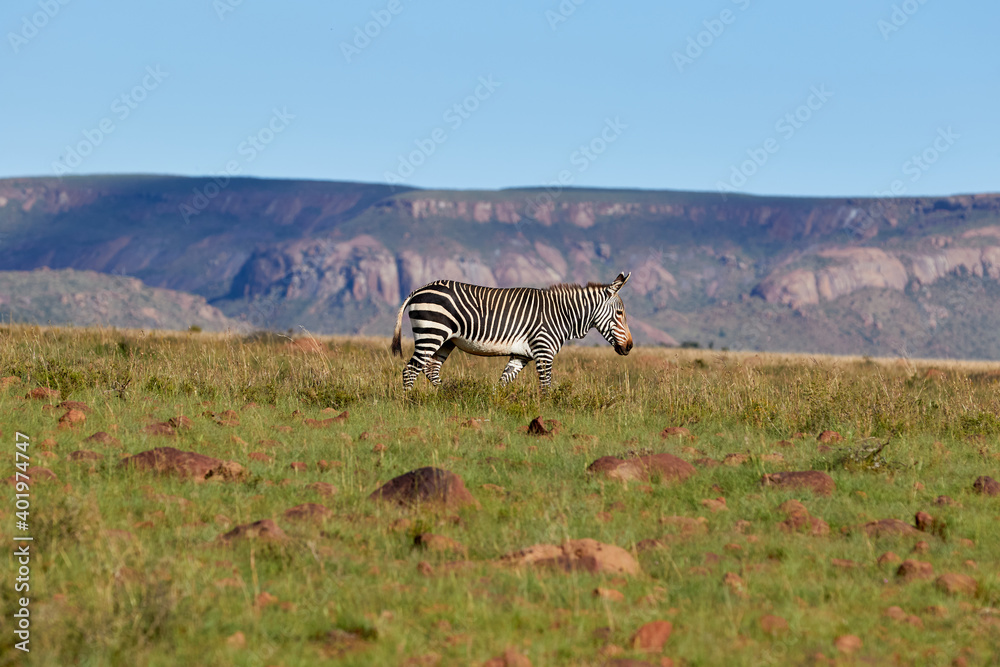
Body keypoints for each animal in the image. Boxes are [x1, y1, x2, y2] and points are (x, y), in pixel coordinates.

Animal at [391, 272, 633, 390]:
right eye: (620, 313)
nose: (630, 346)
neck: (561, 314)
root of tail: (417, 290)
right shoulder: (543, 351)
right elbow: (546, 386)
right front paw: (548, 411)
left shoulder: (520, 355)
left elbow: (503, 382)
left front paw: (493, 403)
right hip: (431, 333)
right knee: (410, 370)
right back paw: (407, 404)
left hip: (445, 341)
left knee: (431, 369)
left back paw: (449, 397)